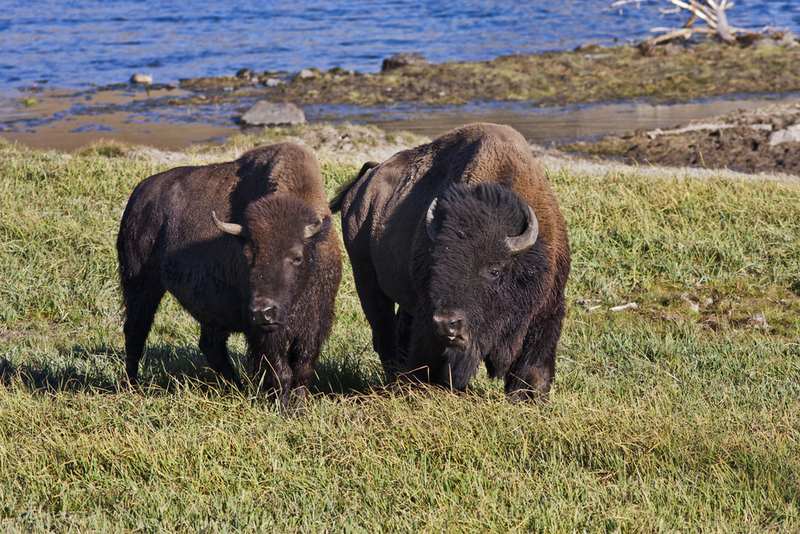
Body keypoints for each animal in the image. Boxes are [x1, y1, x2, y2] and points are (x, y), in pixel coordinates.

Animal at [117, 142, 342, 410]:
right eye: (247, 256)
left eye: (296, 256)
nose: (264, 311)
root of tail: (138, 197)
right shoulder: (263, 332)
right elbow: (281, 371)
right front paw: (283, 409)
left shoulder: (314, 325)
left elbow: (303, 369)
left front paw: (298, 409)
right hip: (140, 285)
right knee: (135, 332)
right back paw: (131, 386)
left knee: (210, 345)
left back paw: (237, 388)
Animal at [330, 123, 568, 404]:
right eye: (437, 266)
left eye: (494, 270)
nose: (448, 323)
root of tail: (361, 188)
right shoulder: (428, 317)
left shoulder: (546, 312)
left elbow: (534, 367)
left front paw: (528, 399)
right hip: (365, 277)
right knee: (384, 333)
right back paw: (395, 379)